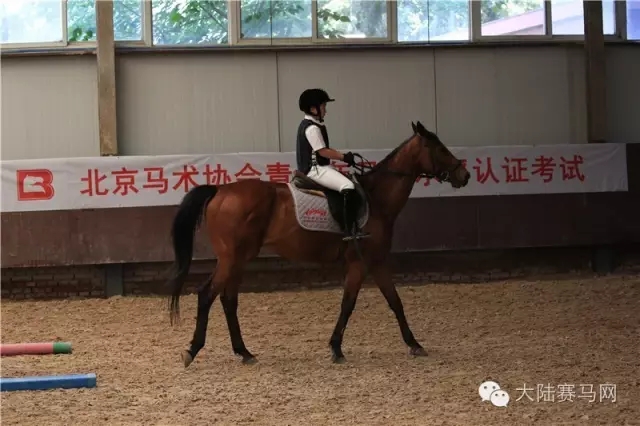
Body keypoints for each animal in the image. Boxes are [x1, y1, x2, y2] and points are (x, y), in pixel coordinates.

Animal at [166, 120, 471, 367]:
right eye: (439, 148)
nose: (464, 176)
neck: (377, 199)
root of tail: (220, 190)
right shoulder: (359, 262)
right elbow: (348, 303)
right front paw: (336, 348)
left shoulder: (377, 260)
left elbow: (395, 301)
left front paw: (414, 344)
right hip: (231, 258)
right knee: (207, 295)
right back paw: (192, 351)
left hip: (239, 259)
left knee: (229, 299)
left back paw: (244, 353)